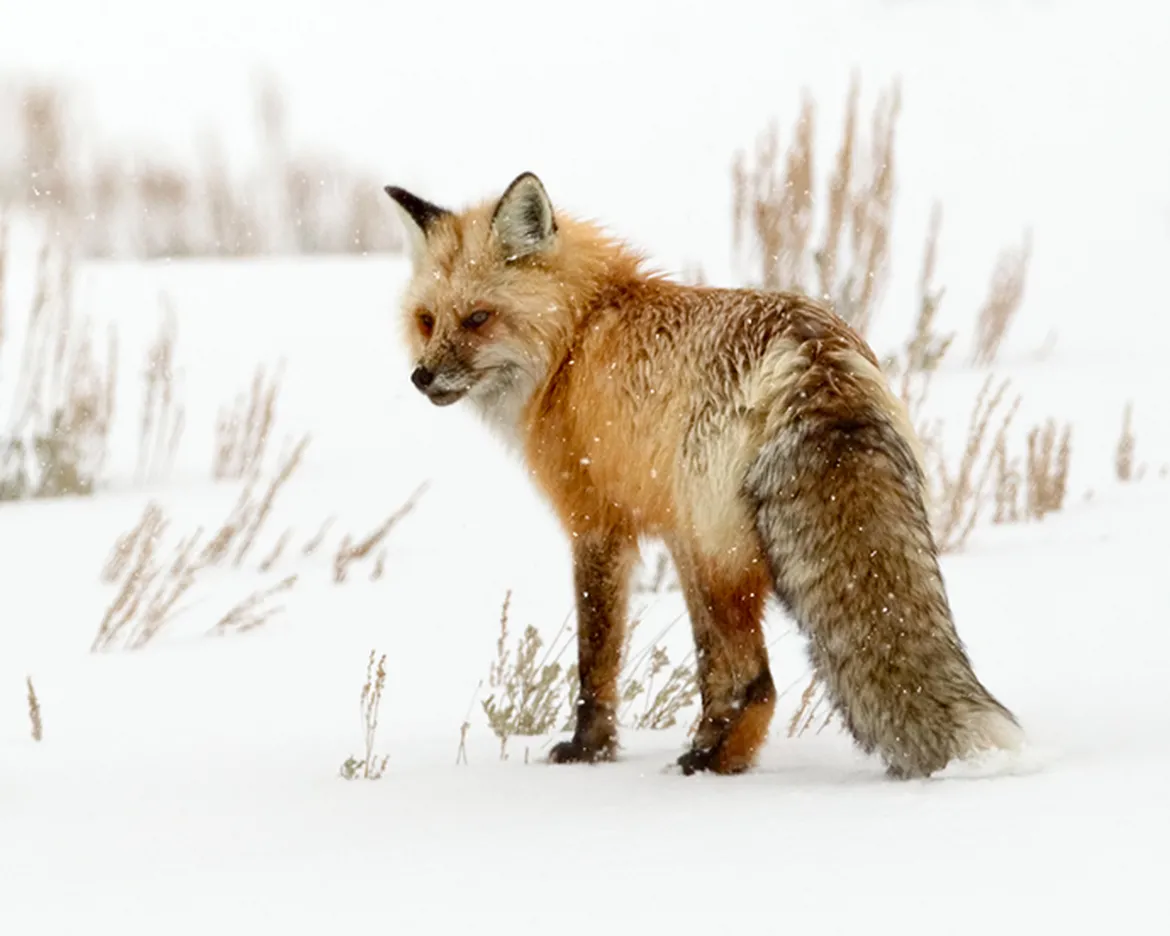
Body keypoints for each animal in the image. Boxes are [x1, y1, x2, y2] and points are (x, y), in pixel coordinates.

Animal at [382, 171, 1023, 779]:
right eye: (427, 320)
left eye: (479, 318)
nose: (422, 376)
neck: (577, 336)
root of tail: (812, 356)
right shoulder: (657, 528)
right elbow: (685, 667)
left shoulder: (597, 522)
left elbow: (597, 657)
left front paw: (589, 750)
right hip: (714, 546)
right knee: (737, 676)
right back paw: (713, 758)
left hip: (712, 555)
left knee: (755, 681)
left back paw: (707, 765)